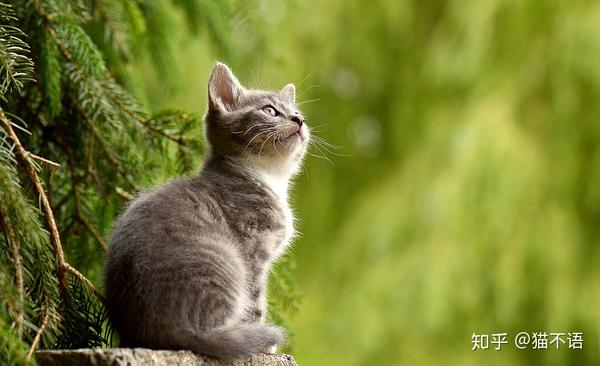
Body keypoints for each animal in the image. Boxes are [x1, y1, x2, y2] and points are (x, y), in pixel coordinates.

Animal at [104, 62, 310, 358]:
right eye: (270, 110)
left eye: (297, 111)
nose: (299, 120)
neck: (267, 177)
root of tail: (159, 331)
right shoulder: (253, 252)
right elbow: (255, 301)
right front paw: (265, 345)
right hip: (228, 262)